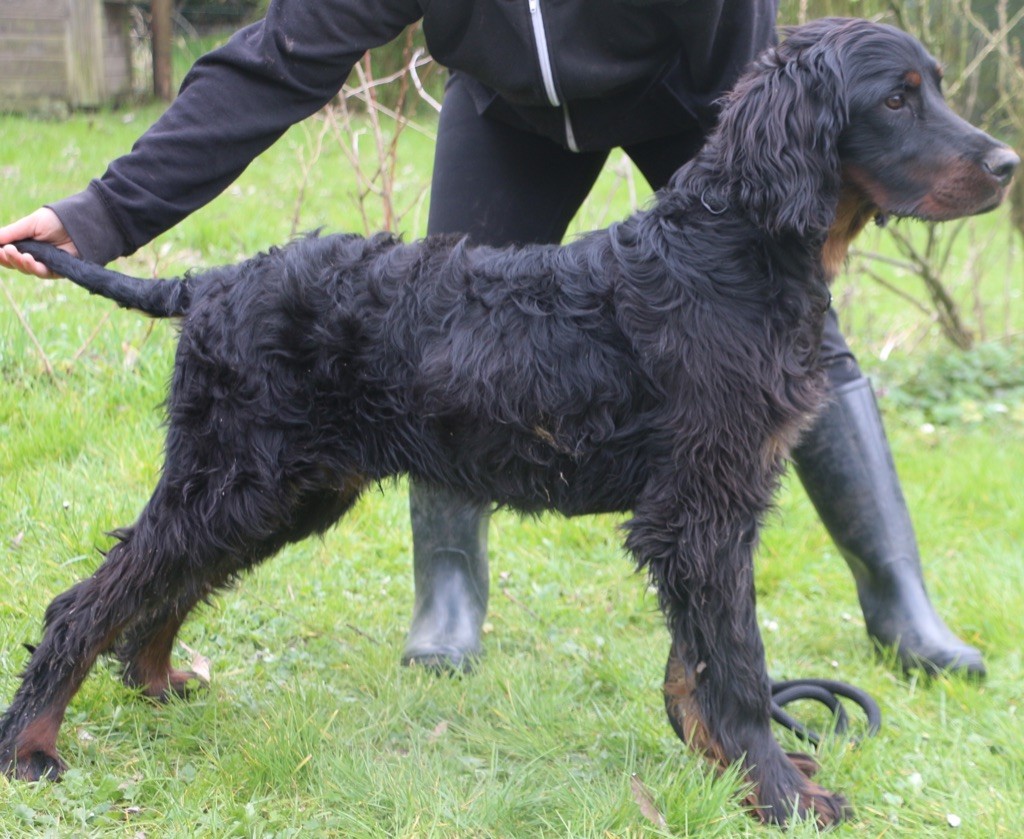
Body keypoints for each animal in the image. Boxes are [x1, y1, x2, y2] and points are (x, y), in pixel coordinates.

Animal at [0, 18, 1015, 827]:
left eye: (932, 86)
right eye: (896, 96)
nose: (1008, 164)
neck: (727, 254)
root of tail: (206, 284)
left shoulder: (711, 507)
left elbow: (694, 666)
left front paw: (724, 767)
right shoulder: (699, 509)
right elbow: (733, 667)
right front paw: (782, 795)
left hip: (284, 488)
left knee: (158, 584)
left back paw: (155, 678)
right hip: (238, 476)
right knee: (85, 599)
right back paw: (32, 746)